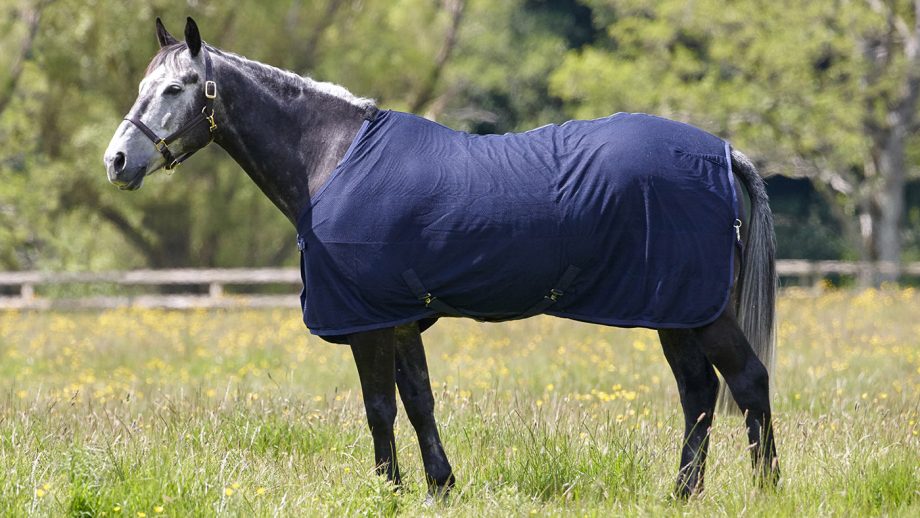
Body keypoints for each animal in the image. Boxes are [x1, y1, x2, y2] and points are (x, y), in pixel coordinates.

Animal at [103, 17, 779, 499]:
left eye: (175, 88)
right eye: (139, 86)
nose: (116, 161)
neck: (332, 160)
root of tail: (723, 153)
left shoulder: (368, 323)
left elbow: (379, 408)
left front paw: (390, 491)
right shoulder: (400, 318)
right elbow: (419, 401)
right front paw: (439, 486)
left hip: (700, 310)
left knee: (747, 381)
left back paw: (764, 489)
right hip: (677, 312)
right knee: (698, 394)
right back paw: (681, 494)